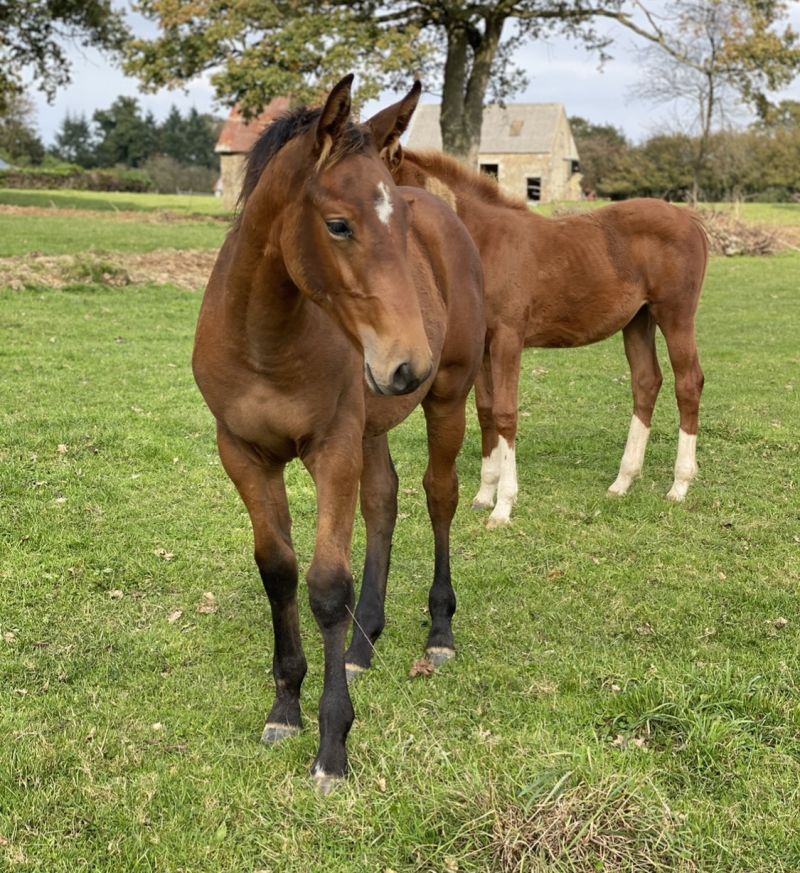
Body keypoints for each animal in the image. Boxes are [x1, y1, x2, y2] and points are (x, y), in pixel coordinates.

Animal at [194, 80, 482, 792]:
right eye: (338, 225)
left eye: (400, 227)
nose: (408, 364)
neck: (266, 343)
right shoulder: (244, 455)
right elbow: (279, 572)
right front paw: (284, 708)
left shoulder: (331, 450)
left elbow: (326, 586)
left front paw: (331, 744)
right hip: (372, 426)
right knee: (384, 500)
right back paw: (362, 642)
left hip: (446, 402)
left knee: (439, 496)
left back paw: (438, 632)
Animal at [384, 87, 708, 524]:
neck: (482, 244)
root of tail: (692, 221)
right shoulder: (483, 344)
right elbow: (485, 410)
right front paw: (484, 494)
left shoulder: (508, 338)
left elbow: (506, 412)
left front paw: (503, 507)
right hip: (638, 320)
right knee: (646, 383)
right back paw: (623, 481)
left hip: (675, 314)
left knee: (688, 382)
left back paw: (679, 485)